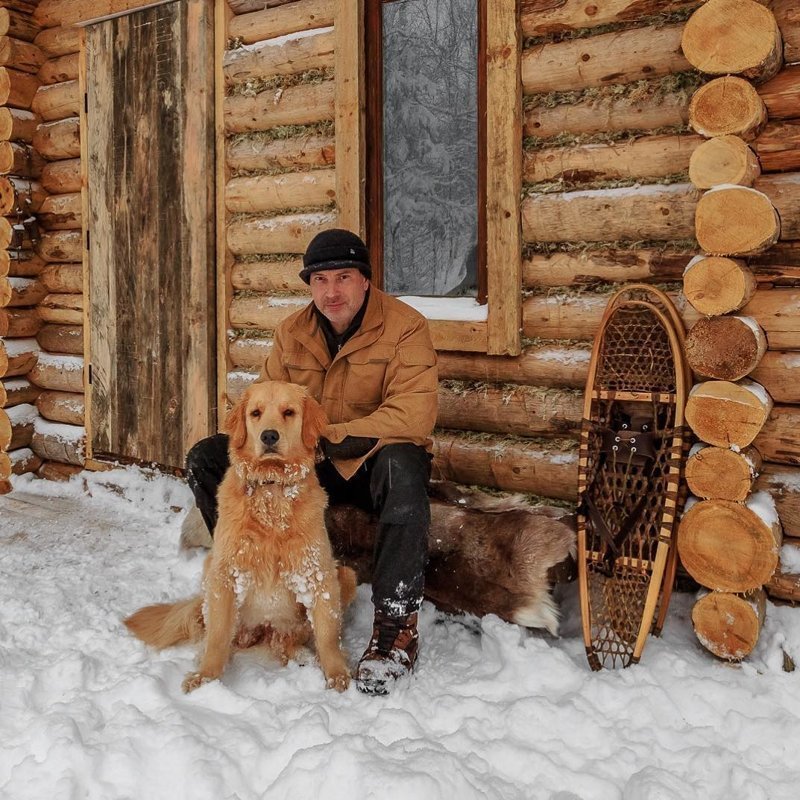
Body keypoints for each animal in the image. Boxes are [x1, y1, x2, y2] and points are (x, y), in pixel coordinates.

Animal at [125, 382, 356, 692]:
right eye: (255, 413)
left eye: (289, 412)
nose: (269, 436)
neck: (271, 491)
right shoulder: (225, 574)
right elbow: (218, 636)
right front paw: (206, 677)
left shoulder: (319, 574)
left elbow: (328, 635)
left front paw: (337, 675)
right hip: (209, 572)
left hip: (346, 575)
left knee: (291, 640)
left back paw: (302, 654)